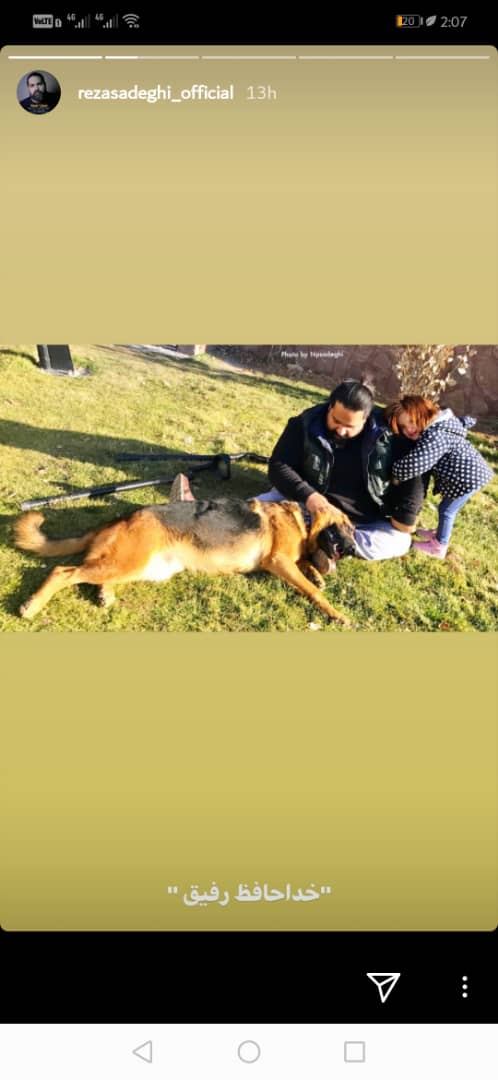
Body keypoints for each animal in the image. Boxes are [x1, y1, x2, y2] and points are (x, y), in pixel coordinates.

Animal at [14, 497, 356, 625]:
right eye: (346, 529)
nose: (354, 549)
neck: (304, 519)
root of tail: (122, 518)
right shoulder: (278, 561)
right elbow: (313, 591)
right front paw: (336, 612)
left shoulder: (288, 561)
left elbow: (308, 568)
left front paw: (316, 572)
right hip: (131, 562)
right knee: (63, 571)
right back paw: (32, 605)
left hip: (146, 567)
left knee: (91, 574)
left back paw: (104, 594)